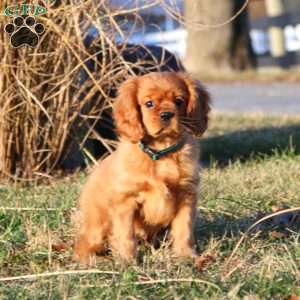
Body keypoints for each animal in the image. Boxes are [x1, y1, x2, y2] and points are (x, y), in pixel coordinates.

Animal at [74, 71, 211, 264]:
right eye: (149, 104)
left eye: (179, 101)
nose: (167, 114)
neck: (161, 152)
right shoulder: (126, 201)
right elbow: (125, 234)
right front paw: (127, 260)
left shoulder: (186, 195)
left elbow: (184, 229)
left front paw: (186, 256)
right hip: (98, 223)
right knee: (84, 245)